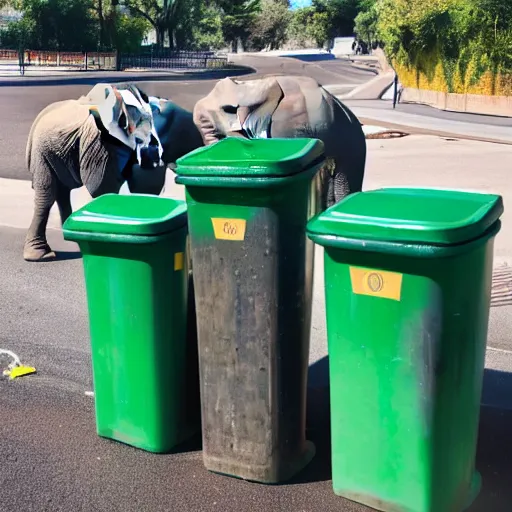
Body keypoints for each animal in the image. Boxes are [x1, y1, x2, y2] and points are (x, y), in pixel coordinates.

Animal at [23, 83, 204, 264]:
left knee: (61, 191)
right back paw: (42, 255)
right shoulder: (102, 143)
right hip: (42, 150)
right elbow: (102, 185)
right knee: (48, 194)